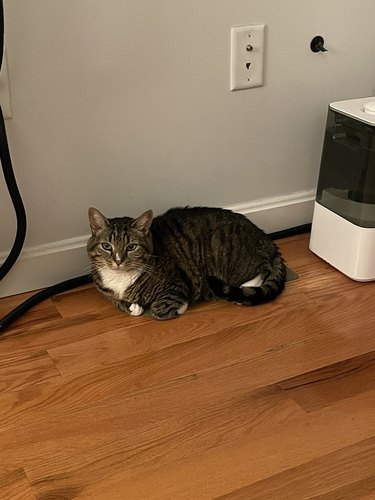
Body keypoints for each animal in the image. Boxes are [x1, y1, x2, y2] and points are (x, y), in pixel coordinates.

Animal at [86, 206, 286, 320]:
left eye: (131, 247)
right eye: (106, 246)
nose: (118, 261)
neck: (120, 278)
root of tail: (265, 239)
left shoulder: (176, 284)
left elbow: (159, 309)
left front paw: (181, 307)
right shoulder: (109, 295)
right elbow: (123, 305)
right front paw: (134, 306)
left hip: (235, 260)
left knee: (262, 271)